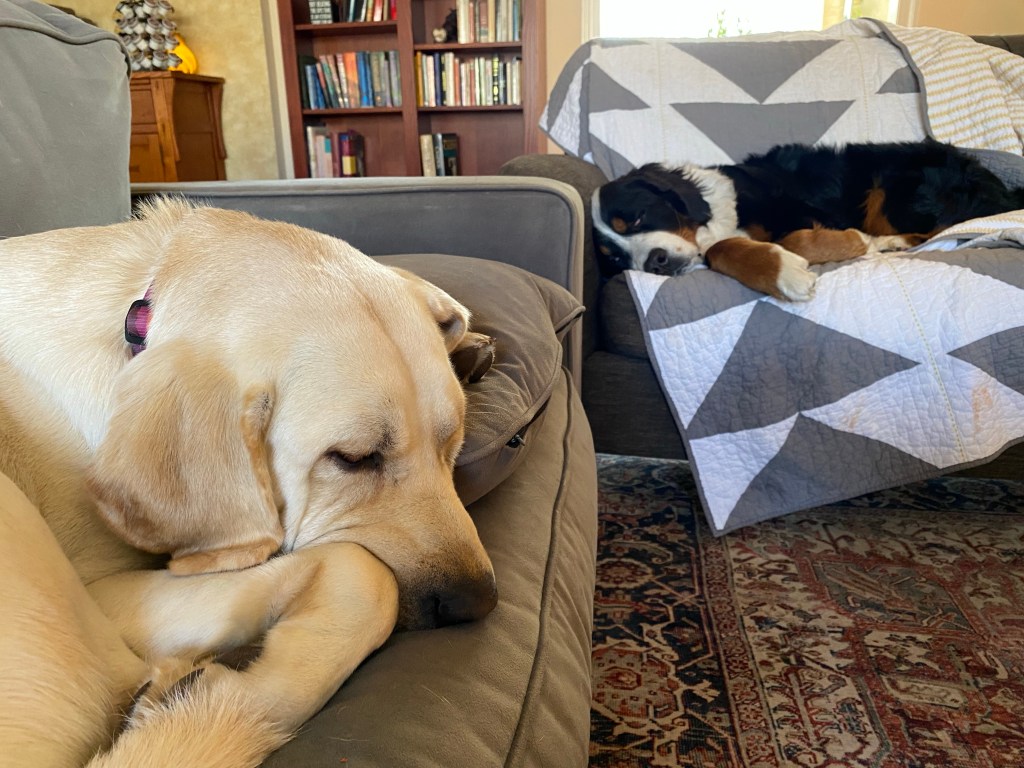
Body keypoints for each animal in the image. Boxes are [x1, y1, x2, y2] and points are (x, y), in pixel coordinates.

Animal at [592, 139, 1024, 300]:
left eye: (637, 217)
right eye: (615, 259)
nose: (655, 262)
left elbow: (789, 240)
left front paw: (795, 270)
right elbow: (724, 248)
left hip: (894, 191)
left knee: (941, 227)